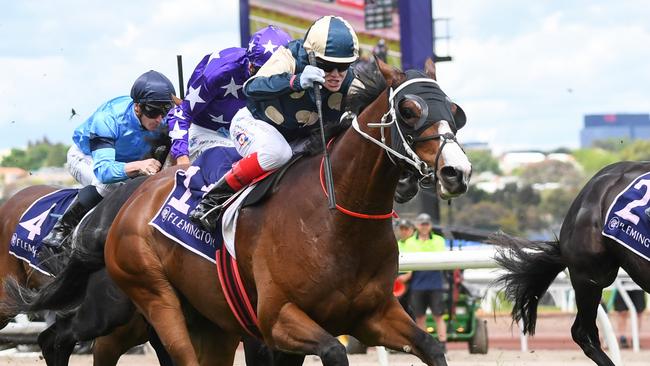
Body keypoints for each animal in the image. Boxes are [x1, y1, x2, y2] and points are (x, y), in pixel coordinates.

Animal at [104, 58, 468, 366]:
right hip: (155, 296)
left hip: (211, 323)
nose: (456, 172)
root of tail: (138, 193)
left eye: (454, 110)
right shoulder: (277, 319)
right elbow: (335, 350)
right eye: (408, 110)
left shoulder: (374, 315)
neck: (337, 221)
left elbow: (432, 346)